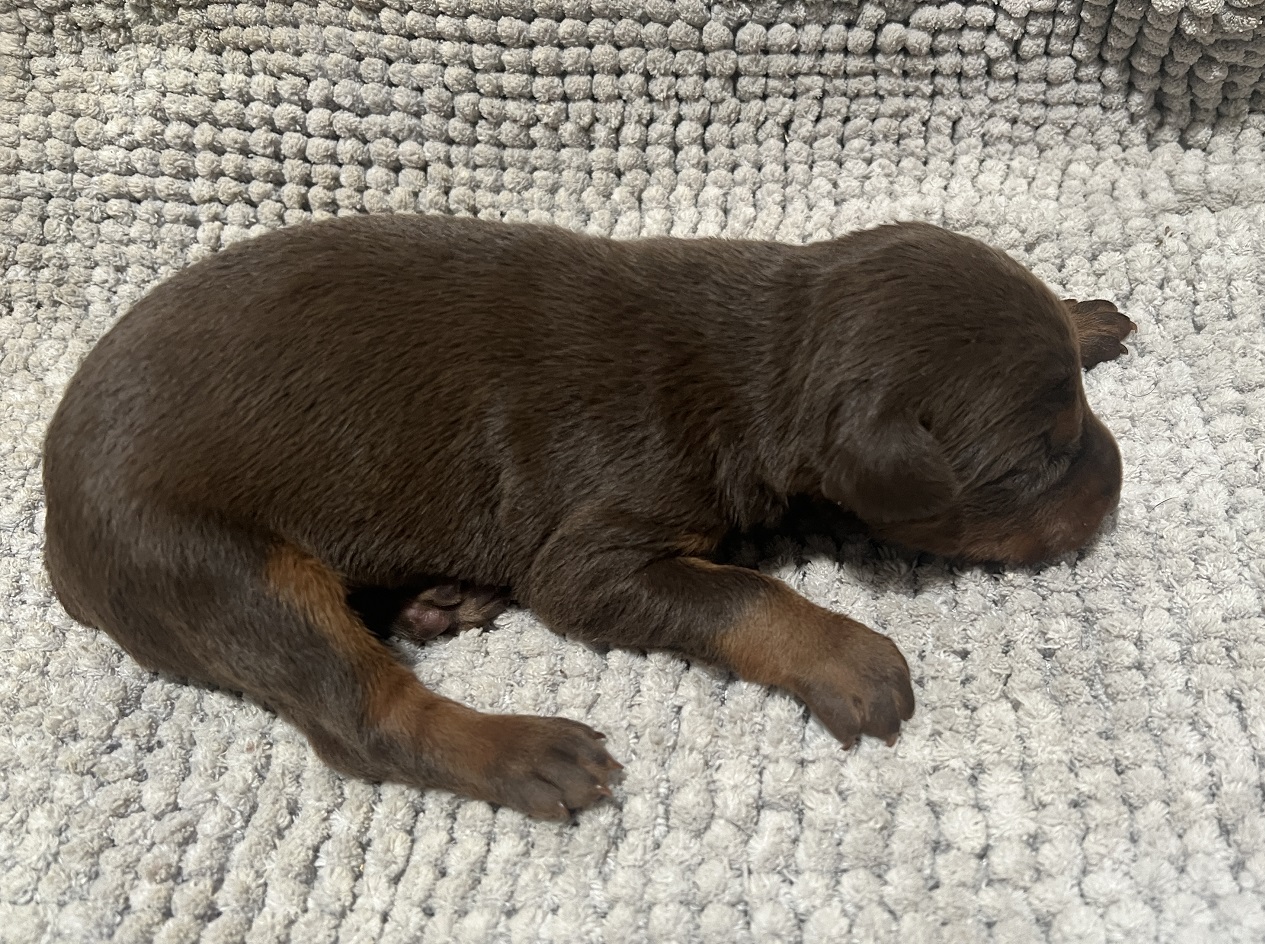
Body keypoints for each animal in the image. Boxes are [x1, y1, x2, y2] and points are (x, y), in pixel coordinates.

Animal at [42, 216, 1138, 819]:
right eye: (1039, 459)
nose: (1119, 485)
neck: (770, 347)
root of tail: (55, 528)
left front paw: (1080, 315)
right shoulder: (592, 554)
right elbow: (743, 591)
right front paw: (841, 649)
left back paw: (440, 601)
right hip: (222, 568)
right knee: (364, 717)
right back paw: (523, 749)